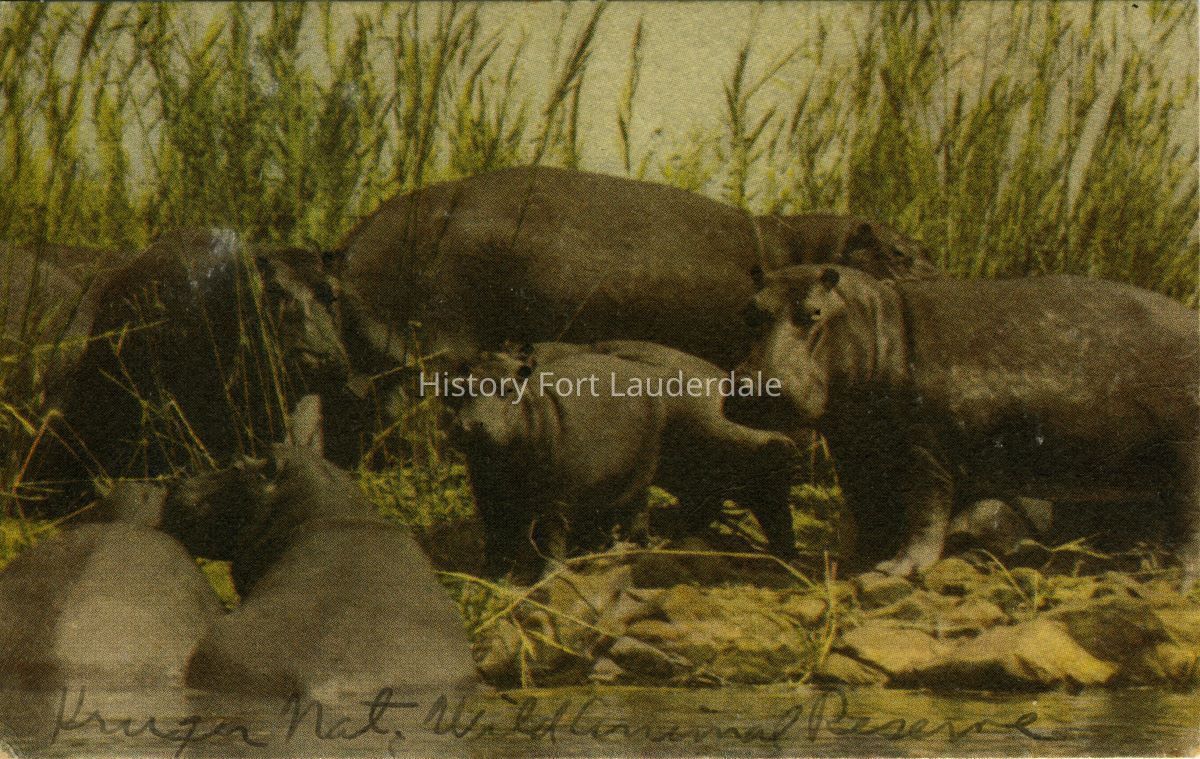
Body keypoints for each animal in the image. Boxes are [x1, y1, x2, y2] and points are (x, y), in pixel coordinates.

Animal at [450, 340, 798, 583]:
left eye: (509, 390)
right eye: (458, 387)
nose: (468, 426)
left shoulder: (557, 494)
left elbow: (551, 534)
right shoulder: (490, 493)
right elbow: (498, 535)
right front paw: (489, 577)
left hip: (639, 477)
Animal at [726, 265, 1200, 588]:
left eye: (814, 312)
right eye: (749, 312)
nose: (754, 387)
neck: (877, 324)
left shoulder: (924, 449)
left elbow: (924, 512)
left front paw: (896, 568)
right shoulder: (855, 448)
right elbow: (868, 508)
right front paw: (856, 564)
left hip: (1186, 456)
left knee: (1189, 520)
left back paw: (1175, 578)